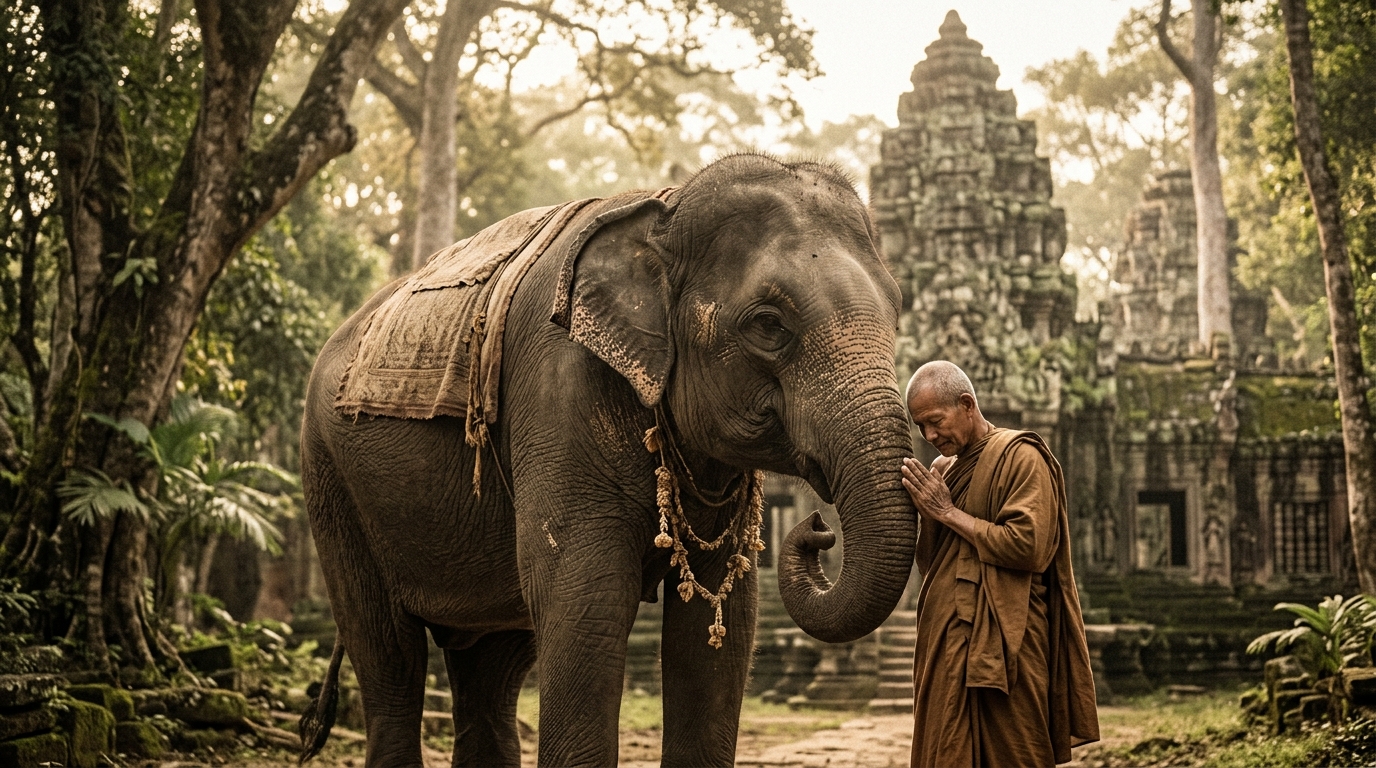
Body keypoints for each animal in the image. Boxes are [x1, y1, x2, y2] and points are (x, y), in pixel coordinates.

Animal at [299, 153, 917, 767]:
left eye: (897, 315)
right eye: (769, 323)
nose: (816, 528)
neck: (667, 208)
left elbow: (721, 621)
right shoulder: (558, 394)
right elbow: (586, 604)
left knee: (491, 672)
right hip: (331, 481)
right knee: (389, 658)